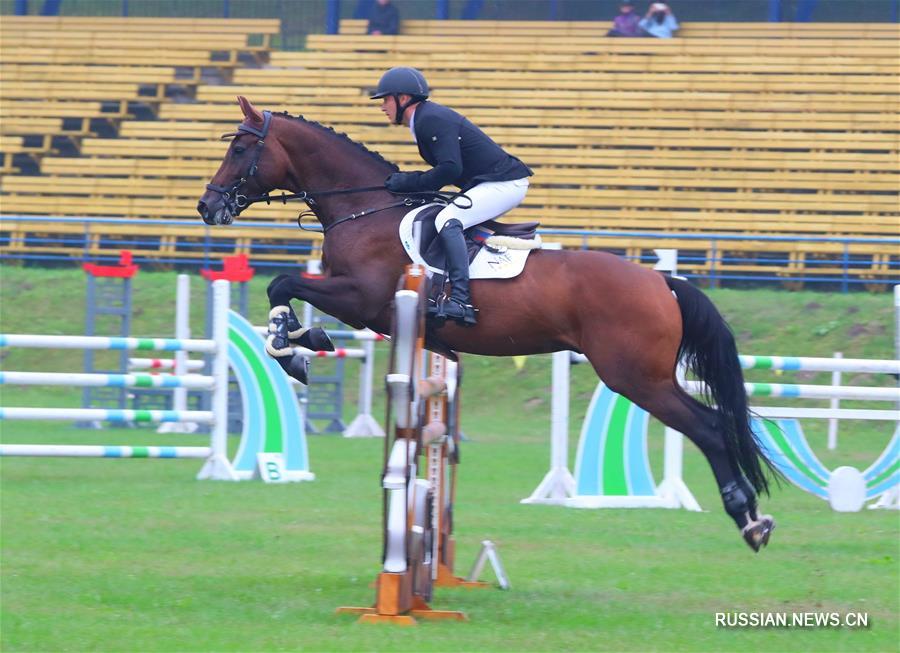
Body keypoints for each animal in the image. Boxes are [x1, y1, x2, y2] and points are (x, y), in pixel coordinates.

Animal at [200, 97, 776, 552]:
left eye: (239, 151)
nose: (207, 206)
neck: (364, 209)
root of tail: (662, 282)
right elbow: (287, 291)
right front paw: (302, 340)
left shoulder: (362, 299)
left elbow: (282, 285)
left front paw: (291, 346)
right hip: (644, 376)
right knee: (712, 427)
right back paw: (751, 516)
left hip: (637, 377)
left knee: (709, 429)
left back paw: (749, 519)